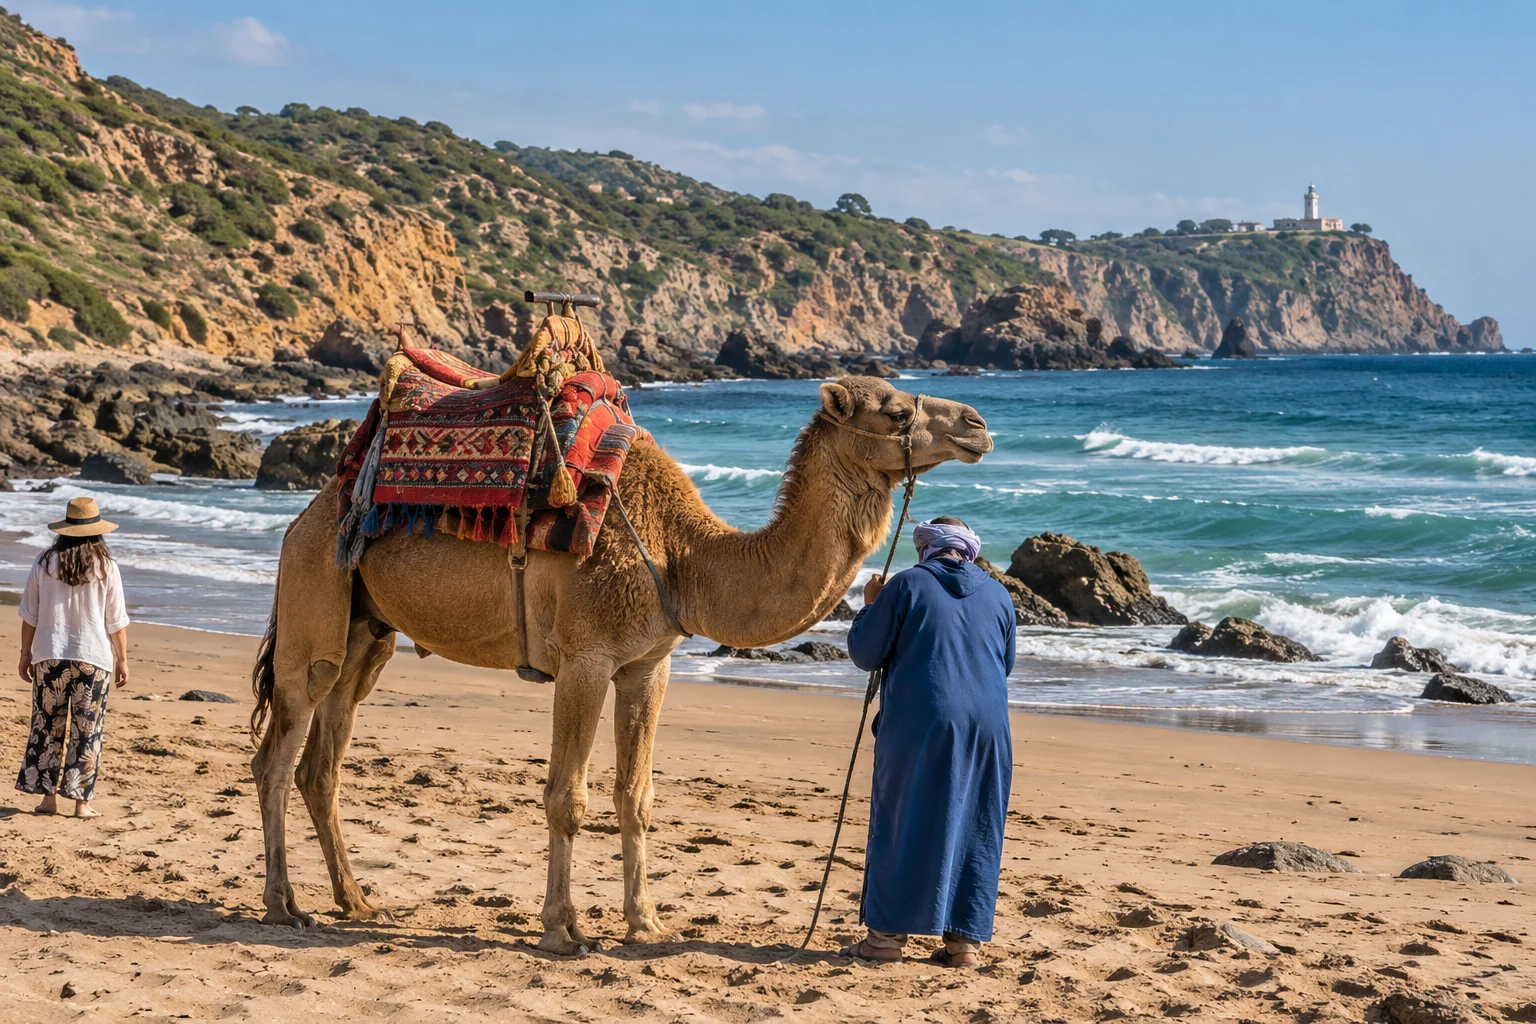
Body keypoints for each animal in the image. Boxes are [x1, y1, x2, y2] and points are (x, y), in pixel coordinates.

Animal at [249, 375, 992, 952]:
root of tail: (305, 515)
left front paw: (646, 923)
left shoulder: (646, 665)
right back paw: (286, 905)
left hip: (367, 630)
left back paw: (356, 901)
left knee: (323, 760)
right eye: (895, 412)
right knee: (277, 755)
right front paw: (563, 929)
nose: (978, 425)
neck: (685, 555)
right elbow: (566, 796)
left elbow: (636, 796)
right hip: (315, 599)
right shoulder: (585, 657)